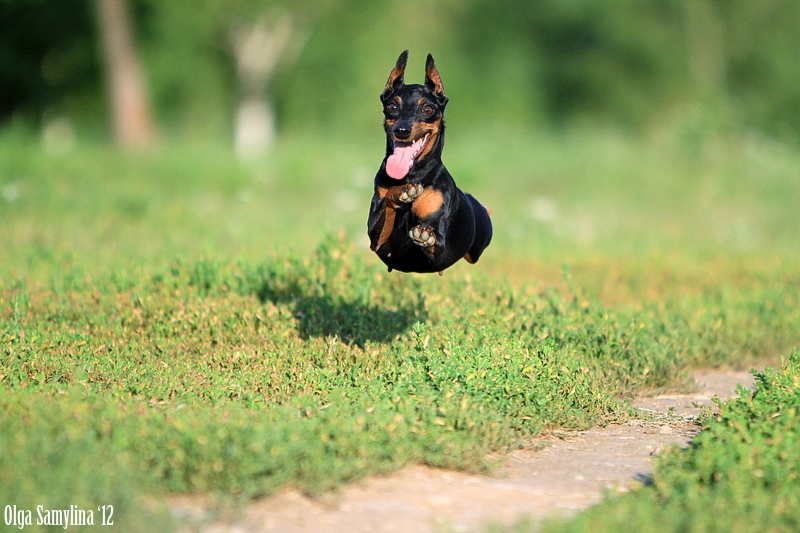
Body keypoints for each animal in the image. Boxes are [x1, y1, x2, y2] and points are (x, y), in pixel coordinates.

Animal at [368, 50, 490, 274]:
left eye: (427, 109)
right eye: (392, 106)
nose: (402, 130)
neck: (412, 174)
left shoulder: (437, 247)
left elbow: (434, 238)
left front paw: (425, 234)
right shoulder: (376, 240)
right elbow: (386, 203)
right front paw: (402, 192)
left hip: (478, 245)